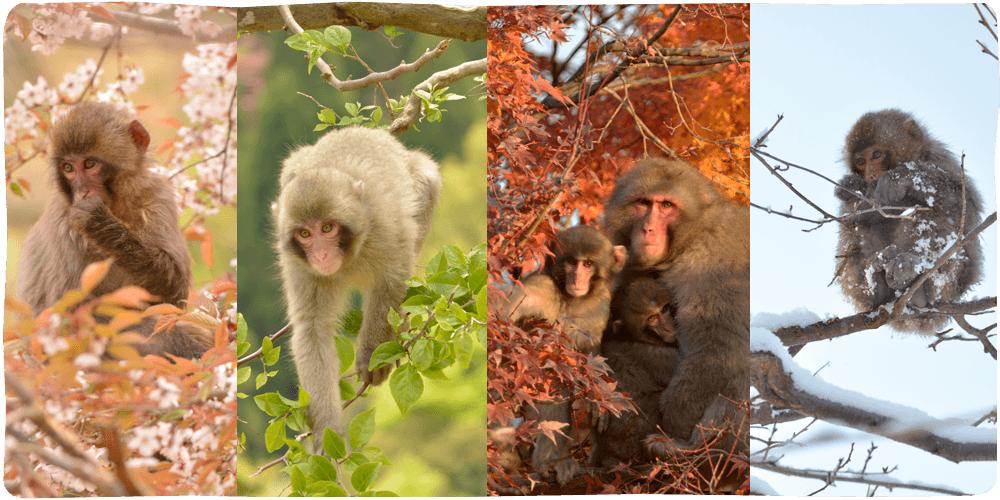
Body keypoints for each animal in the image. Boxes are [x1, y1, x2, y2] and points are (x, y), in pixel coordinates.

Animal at [14, 102, 212, 359]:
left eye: (89, 164)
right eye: (68, 168)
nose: (82, 193)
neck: (117, 205)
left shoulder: (159, 197)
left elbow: (173, 297)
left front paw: (99, 222)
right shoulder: (64, 223)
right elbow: (68, 316)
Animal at [272, 126, 441, 449]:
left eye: (327, 228)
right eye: (305, 233)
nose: (321, 256)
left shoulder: (387, 227)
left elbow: (392, 282)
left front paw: (372, 355)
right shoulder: (299, 265)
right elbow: (313, 326)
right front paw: (327, 431)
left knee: (427, 182)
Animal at [500, 225, 626, 486]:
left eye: (588, 264)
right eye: (570, 262)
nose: (577, 279)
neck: (569, 299)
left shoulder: (600, 303)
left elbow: (591, 353)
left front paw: (598, 398)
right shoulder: (536, 289)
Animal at [602, 158, 749, 460]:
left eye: (666, 205)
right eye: (644, 203)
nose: (647, 228)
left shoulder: (711, 260)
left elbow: (720, 347)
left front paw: (676, 421)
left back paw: (688, 449)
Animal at [835, 109, 984, 335]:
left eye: (876, 155)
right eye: (861, 161)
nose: (871, 175)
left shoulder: (941, 160)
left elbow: (966, 210)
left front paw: (899, 178)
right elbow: (853, 218)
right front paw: (852, 186)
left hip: (953, 284)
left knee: (927, 213)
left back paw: (913, 275)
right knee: (856, 229)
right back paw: (874, 288)